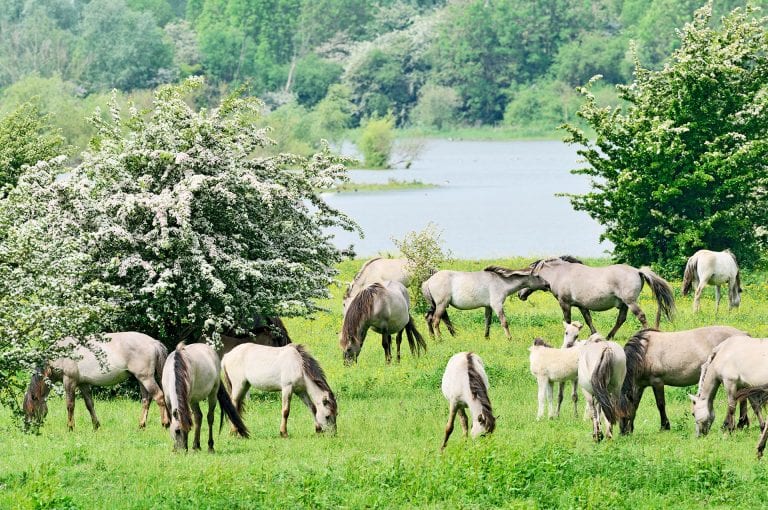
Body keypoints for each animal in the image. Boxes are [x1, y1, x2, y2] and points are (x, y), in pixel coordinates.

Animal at [23, 332, 169, 432]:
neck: (60, 353)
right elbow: (89, 404)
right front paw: (96, 426)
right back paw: (141, 426)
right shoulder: (83, 384)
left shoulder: (69, 381)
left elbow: (70, 405)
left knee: (159, 397)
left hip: (146, 378)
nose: (28, 430)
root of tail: (153, 342)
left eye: (31, 409)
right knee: (146, 400)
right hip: (141, 379)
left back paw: (165, 424)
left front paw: (70, 427)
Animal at [420, 264, 552, 340]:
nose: (548, 284)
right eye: (538, 276)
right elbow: (504, 322)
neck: (501, 282)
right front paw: (509, 338)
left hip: (434, 306)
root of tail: (428, 281)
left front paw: (487, 337)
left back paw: (432, 338)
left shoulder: (488, 307)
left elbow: (487, 322)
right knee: (436, 320)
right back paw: (440, 339)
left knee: (429, 318)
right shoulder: (497, 305)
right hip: (441, 305)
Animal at [520, 256, 676, 340]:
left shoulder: (564, 303)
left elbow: (567, 321)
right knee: (621, 319)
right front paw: (594, 336)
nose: (519, 294)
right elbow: (588, 320)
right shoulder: (582, 306)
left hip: (630, 302)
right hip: (624, 304)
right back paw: (608, 336)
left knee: (641, 316)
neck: (560, 273)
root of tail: (638, 271)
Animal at [616, 326, 752, 434]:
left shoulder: (657, 382)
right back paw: (742, 424)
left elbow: (660, 404)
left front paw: (664, 427)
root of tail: (743, 334)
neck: (644, 351)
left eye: (624, 413)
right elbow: (635, 405)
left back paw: (739, 424)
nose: (623, 433)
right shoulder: (640, 385)